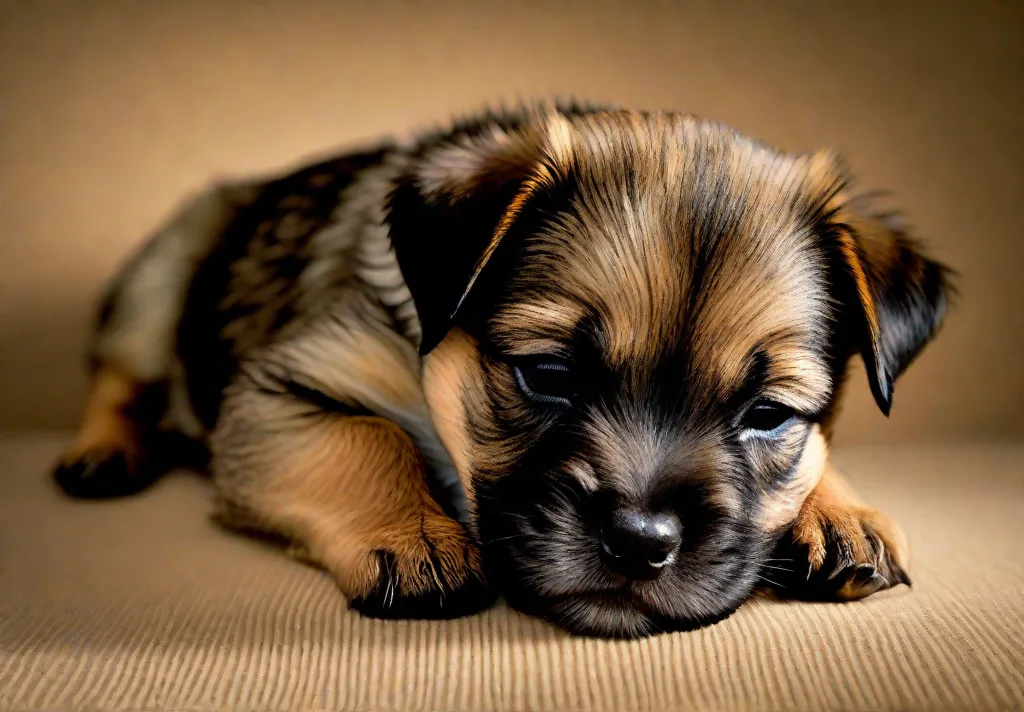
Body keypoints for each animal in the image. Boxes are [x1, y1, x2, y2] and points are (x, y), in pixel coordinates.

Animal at [54, 102, 950, 639]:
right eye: (547, 374)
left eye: (767, 415)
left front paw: (841, 511)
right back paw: (100, 454)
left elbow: (820, 459)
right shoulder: (281, 389)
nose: (641, 543)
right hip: (159, 283)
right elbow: (366, 438)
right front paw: (412, 536)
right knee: (118, 377)